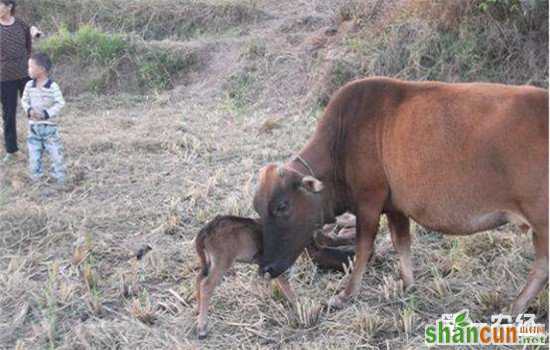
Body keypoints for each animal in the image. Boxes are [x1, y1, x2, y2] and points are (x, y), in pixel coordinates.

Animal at [256, 76, 548, 314]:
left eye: (282, 206)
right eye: (258, 209)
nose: (266, 267)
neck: (341, 139)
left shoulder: (369, 201)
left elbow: (363, 248)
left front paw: (346, 295)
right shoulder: (395, 206)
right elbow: (402, 243)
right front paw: (407, 284)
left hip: (541, 220)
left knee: (542, 266)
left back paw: (514, 307)